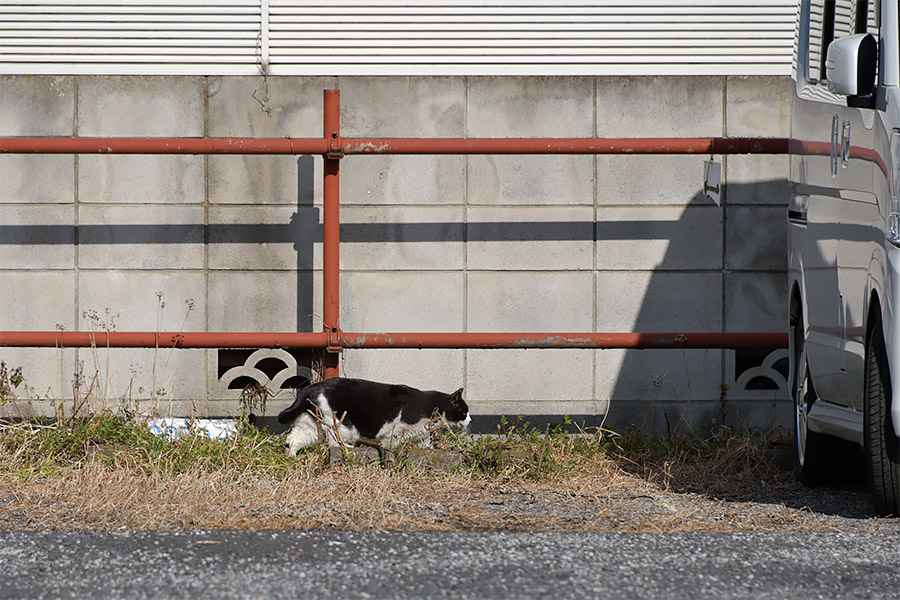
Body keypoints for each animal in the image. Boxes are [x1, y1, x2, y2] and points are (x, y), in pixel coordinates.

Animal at [278, 378, 472, 458]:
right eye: (465, 412)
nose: (470, 420)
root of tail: (308, 389)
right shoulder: (398, 426)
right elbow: (391, 441)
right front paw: (389, 449)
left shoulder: (420, 432)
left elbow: (424, 443)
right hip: (339, 422)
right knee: (334, 442)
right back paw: (348, 447)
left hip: (312, 425)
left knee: (293, 439)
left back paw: (291, 456)